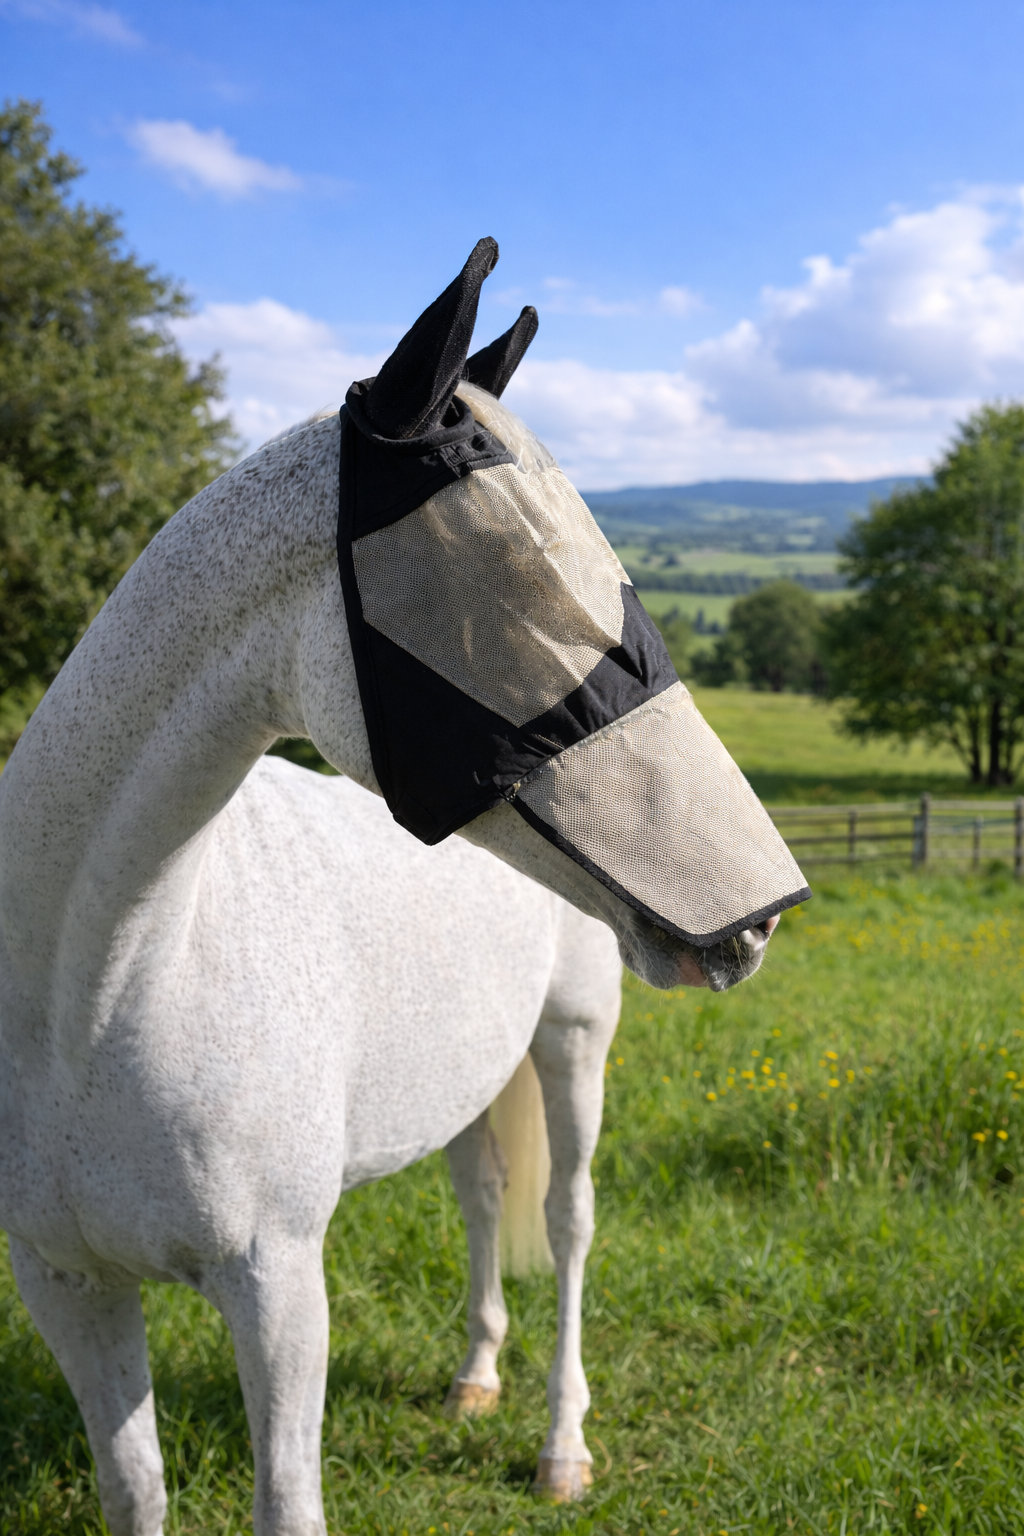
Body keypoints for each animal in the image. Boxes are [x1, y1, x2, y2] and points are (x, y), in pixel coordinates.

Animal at [0, 240, 806, 1535]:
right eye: (515, 570)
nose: (764, 914)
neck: (97, 990)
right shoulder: (67, 1282)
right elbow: (137, 1492)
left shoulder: (277, 1284)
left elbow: (288, 1502)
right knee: (483, 1195)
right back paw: (476, 1379)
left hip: (573, 1042)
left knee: (566, 1219)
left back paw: (560, 1446)